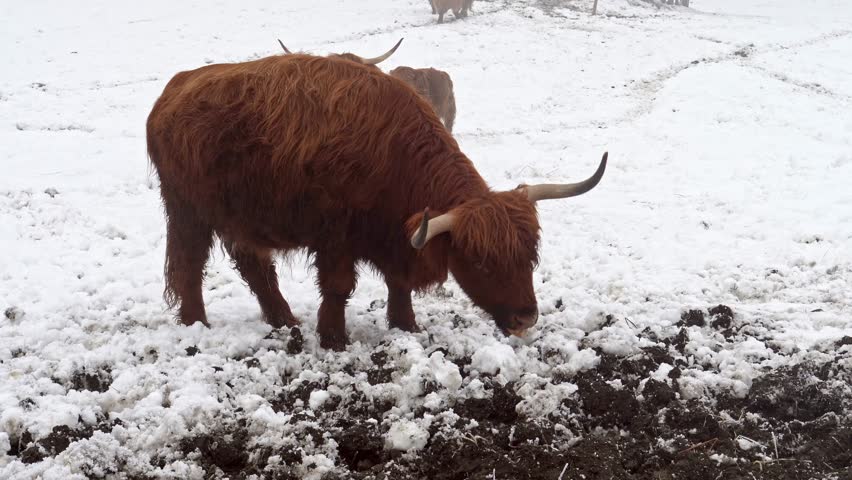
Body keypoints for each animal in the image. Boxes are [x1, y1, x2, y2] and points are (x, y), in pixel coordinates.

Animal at [146, 53, 608, 352]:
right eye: (481, 261)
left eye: (531, 255)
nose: (525, 318)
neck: (393, 156)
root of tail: (174, 89)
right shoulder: (335, 237)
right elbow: (338, 287)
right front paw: (333, 339)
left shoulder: (396, 237)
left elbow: (397, 283)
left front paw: (406, 326)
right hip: (187, 210)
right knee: (189, 265)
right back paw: (197, 323)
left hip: (241, 217)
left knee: (255, 267)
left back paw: (284, 320)